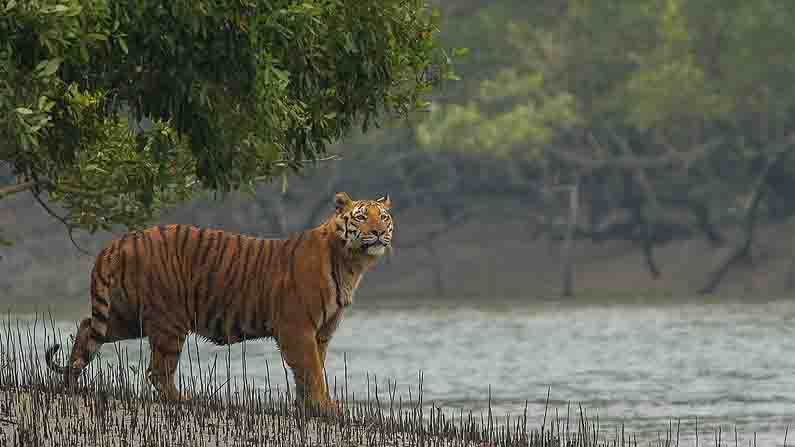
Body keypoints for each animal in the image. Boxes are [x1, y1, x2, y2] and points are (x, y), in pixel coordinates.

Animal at [45, 192, 394, 416]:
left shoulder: (320, 332)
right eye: (362, 216)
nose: (378, 232)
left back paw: (69, 384)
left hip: (126, 315)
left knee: (86, 328)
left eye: (383, 216)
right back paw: (184, 400)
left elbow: (312, 370)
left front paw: (308, 407)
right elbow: (311, 370)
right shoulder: (297, 328)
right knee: (157, 370)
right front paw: (325, 407)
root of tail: (120, 240)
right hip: (169, 320)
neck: (351, 263)